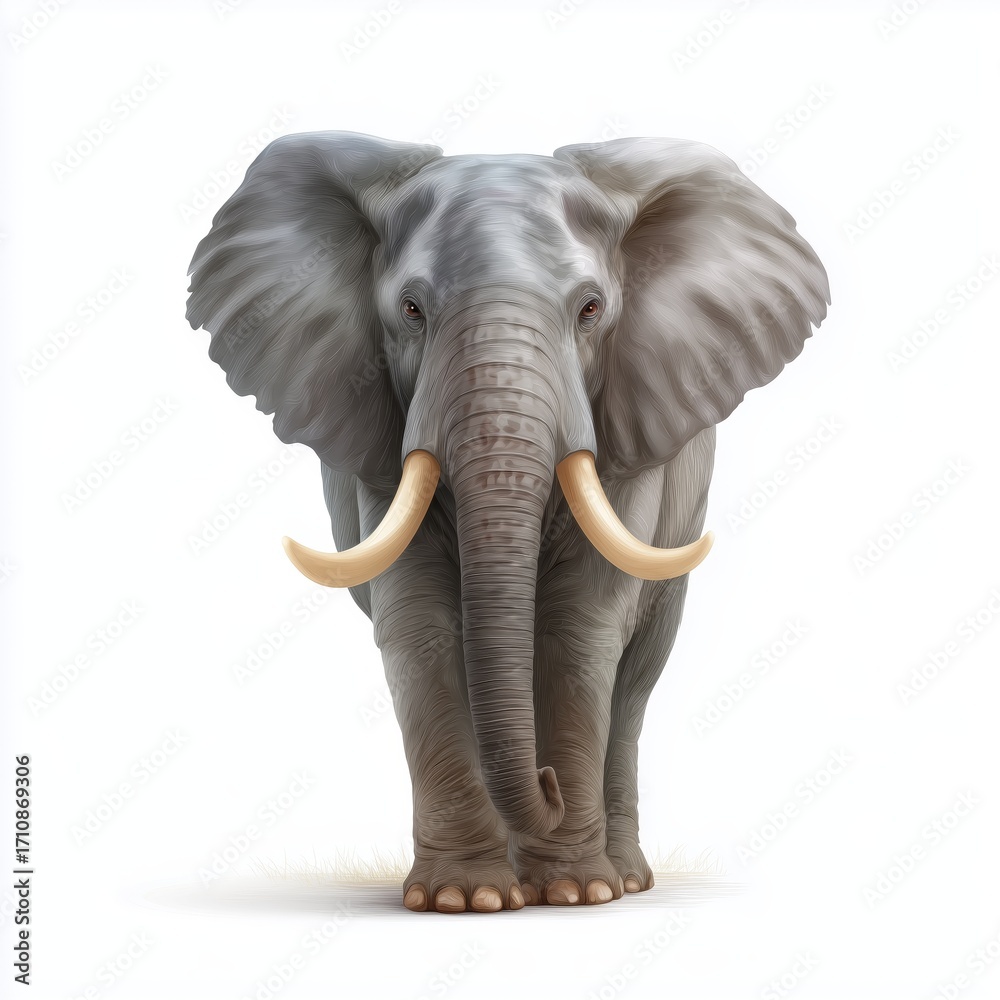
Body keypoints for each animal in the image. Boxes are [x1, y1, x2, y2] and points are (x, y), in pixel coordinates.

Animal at [186, 131, 829, 913]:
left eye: (590, 309)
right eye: (411, 311)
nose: (547, 784)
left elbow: (579, 622)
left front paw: (578, 891)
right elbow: (422, 622)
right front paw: (466, 900)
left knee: (635, 679)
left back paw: (625, 878)